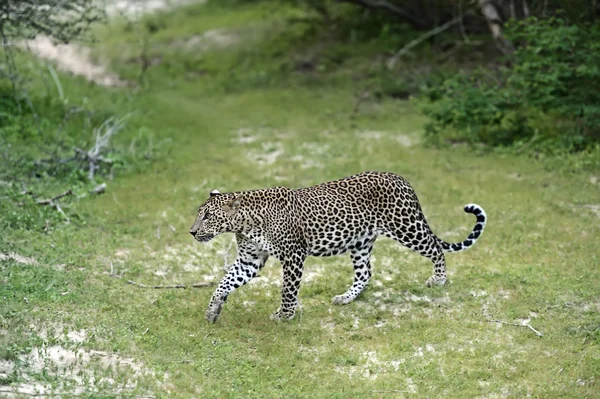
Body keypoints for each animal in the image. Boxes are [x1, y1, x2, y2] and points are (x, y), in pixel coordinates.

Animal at [190, 170, 486, 324]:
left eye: (208, 216)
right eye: (199, 214)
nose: (192, 231)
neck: (245, 223)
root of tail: (401, 179)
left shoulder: (293, 255)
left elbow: (288, 290)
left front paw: (285, 315)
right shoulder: (249, 260)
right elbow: (224, 282)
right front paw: (213, 309)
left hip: (407, 228)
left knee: (436, 248)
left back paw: (439, 279)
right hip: (360, 241)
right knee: (365, 273)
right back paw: (346, 298)